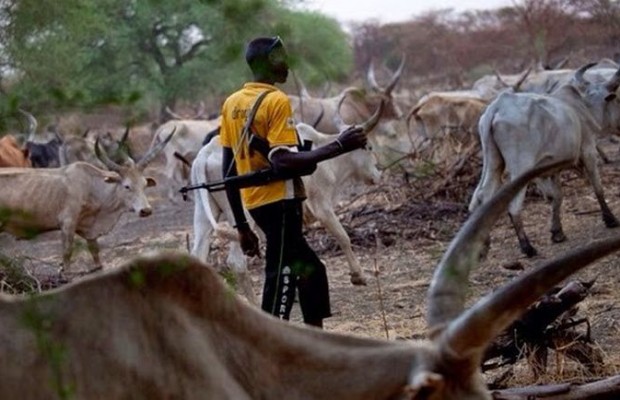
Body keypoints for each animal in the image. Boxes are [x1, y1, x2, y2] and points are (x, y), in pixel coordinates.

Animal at [470, 62, 620, 256]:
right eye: (617, 100)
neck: (582, 108)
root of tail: (497, 107)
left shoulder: (551, 169)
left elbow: (557, 196)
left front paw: (557, 232)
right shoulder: (588, 151)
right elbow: (597, 187)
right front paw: (610, 219)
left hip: (494, 162)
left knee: (482, 196)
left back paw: (482, 246)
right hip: (521, 168)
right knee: (513, 205)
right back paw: (527, 247)